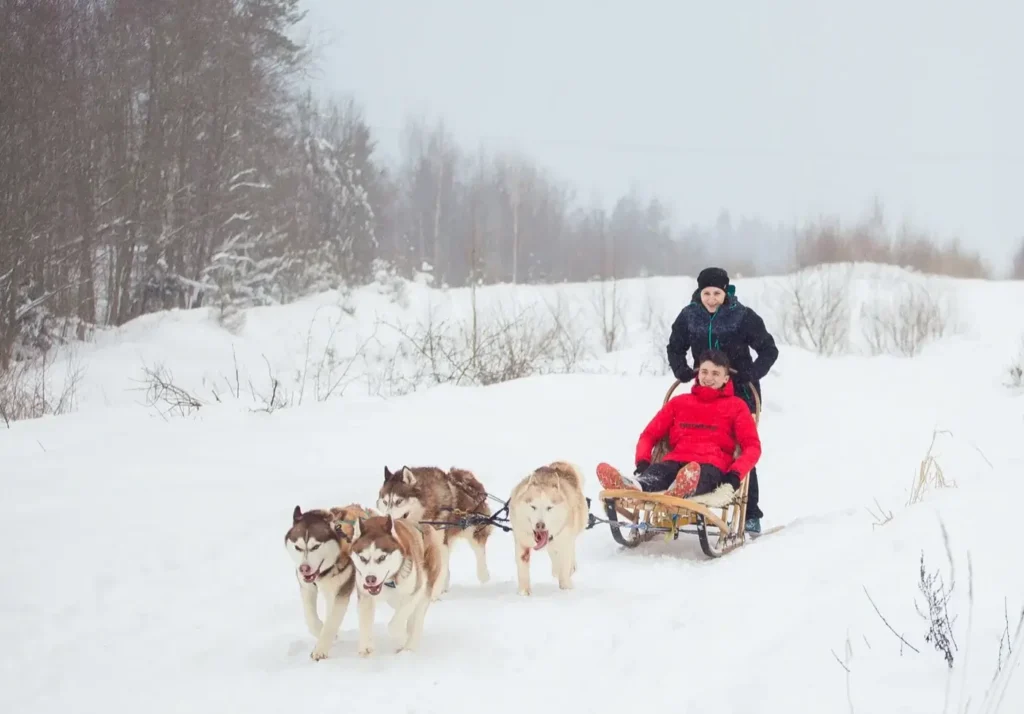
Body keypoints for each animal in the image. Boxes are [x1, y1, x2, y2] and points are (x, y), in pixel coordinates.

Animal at [284, 504, 372, 659]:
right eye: (298, 547)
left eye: (315, 547)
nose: (304, 569)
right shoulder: (307, 588)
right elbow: (310, 617)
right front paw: (320, 630)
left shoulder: (342, 591)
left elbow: (332, 621)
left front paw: (321, 649)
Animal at [350, 512, 446, 655]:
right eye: (362, 558)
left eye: (382, 557)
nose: (370, 579)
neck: (389, 582)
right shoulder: (365, 596)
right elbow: (365, 620)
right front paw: (365, 646)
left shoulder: (415, 591)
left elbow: (393, 626)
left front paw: (403, 640)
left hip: (426, 587)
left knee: (417, 617)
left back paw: (411, 645)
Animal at [507, 458, 589, 594]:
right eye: (533, 507)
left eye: (549, 507)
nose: (540, 525)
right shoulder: (521, 543)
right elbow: (522, 567)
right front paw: (524, 592)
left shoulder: (565, 540)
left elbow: (565, 565)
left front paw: (566, 587)